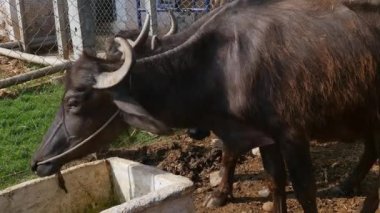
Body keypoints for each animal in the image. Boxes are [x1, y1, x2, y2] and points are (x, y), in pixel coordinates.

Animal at [31, 0, 380, 211]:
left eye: (73, 101)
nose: (38, 162)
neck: (224, 64)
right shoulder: (261, 136)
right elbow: (274, 182)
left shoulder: (293, 135)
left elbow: (305, 192)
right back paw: (348, 184)